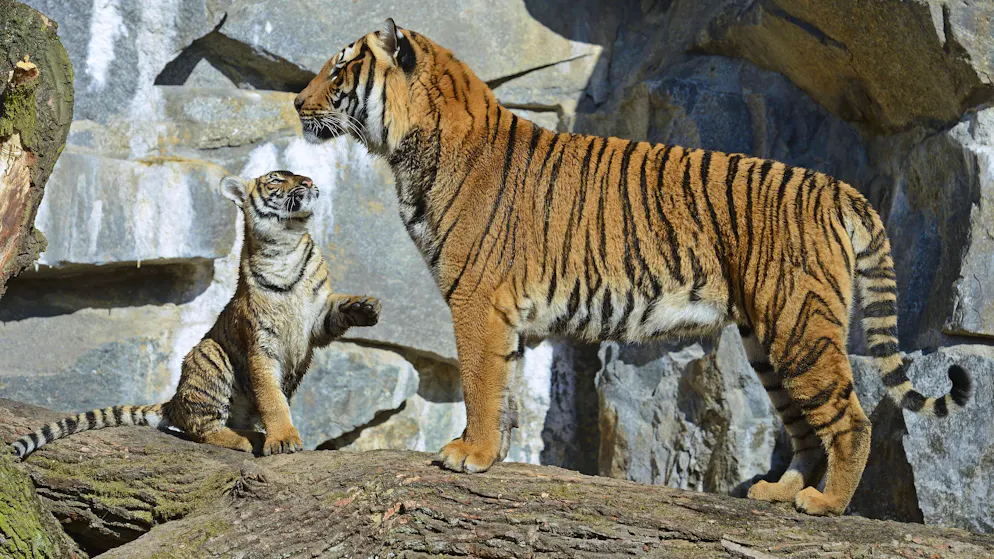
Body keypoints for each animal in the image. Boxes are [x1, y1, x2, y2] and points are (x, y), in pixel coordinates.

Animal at [11, 170, 381, 459]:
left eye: (300, 174)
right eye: (277, 179)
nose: (309, 182)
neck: (284, 245)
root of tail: (174, 398)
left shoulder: (315, 318)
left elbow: (336, 311)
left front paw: (365, 307)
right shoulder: (261, 342)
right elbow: (273, 399)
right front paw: (283, 439)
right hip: (210, 355)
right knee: (200, 429)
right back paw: (249, 440)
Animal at [293, 19, 972, 516]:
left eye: (340, 67)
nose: (297, 102)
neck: (408, 149)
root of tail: (836, 187)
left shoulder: (477, 301)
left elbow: (482, 384)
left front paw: (469, 453)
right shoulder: (500, 312)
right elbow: (505, 387)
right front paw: (495, 454)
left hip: (797, 323)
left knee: (849, 419)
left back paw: (825, 504)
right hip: (768, 337)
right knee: (805, 425)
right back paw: (779, 492)